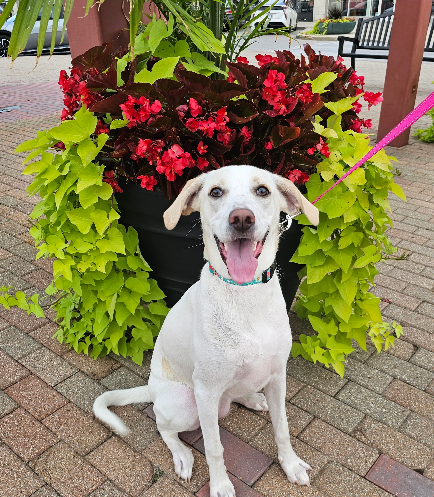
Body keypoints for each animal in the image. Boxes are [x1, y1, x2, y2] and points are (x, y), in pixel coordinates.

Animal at [94, 166, 318, 496]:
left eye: (262, 191)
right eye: (215, 192)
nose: (242, 218)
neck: (245, 295)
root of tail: (151, 388)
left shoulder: (278, 377)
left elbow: (283, 429)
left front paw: (290, 465)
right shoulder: (207, 391)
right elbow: (214, 447)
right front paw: (221, 485)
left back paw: (251, 398)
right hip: (187, 403)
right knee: (163, 426)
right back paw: (182, 454)